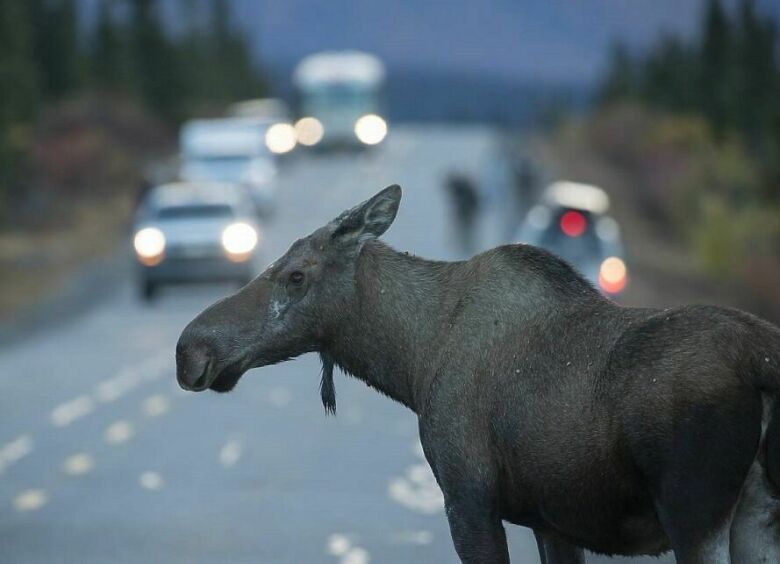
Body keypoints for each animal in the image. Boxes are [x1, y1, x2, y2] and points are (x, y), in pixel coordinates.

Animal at [175, 186, 780, 564]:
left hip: (694, 510)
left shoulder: (468, 494)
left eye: (297, 275)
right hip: (757, 516)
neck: (412, 360)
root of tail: (763, 361)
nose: (190, 349)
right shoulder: (551, 521)